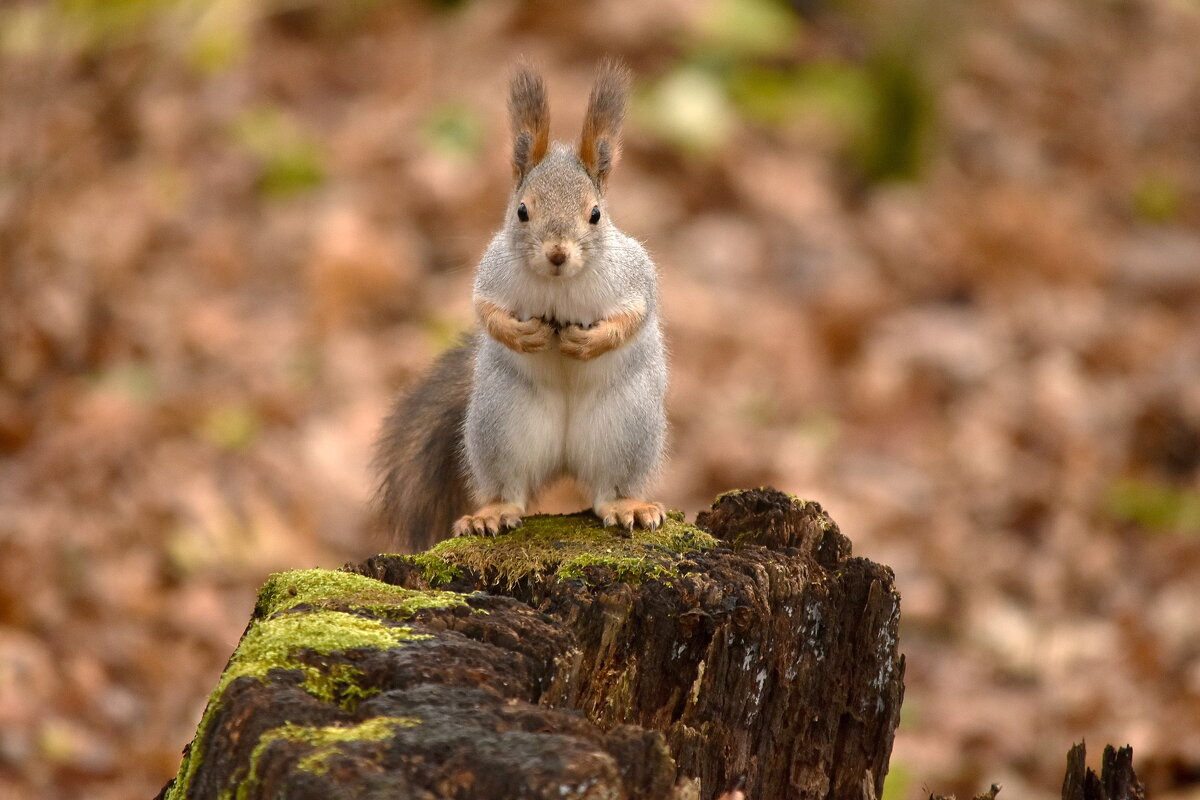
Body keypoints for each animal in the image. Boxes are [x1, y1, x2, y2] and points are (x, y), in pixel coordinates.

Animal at [369, 59, 672, 554]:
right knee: (511, 488)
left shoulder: (634, 277)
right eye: (522, 212)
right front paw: (523, 335)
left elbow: (634, 316)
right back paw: (492, 513)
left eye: (595, 214)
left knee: (608, 488)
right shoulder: (491, 276)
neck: (557, 285)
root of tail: (565, 461)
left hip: (627, 427)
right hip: (502, 426)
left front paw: (588, 342)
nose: (557, 253)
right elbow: (486, 312)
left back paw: (626, 505)